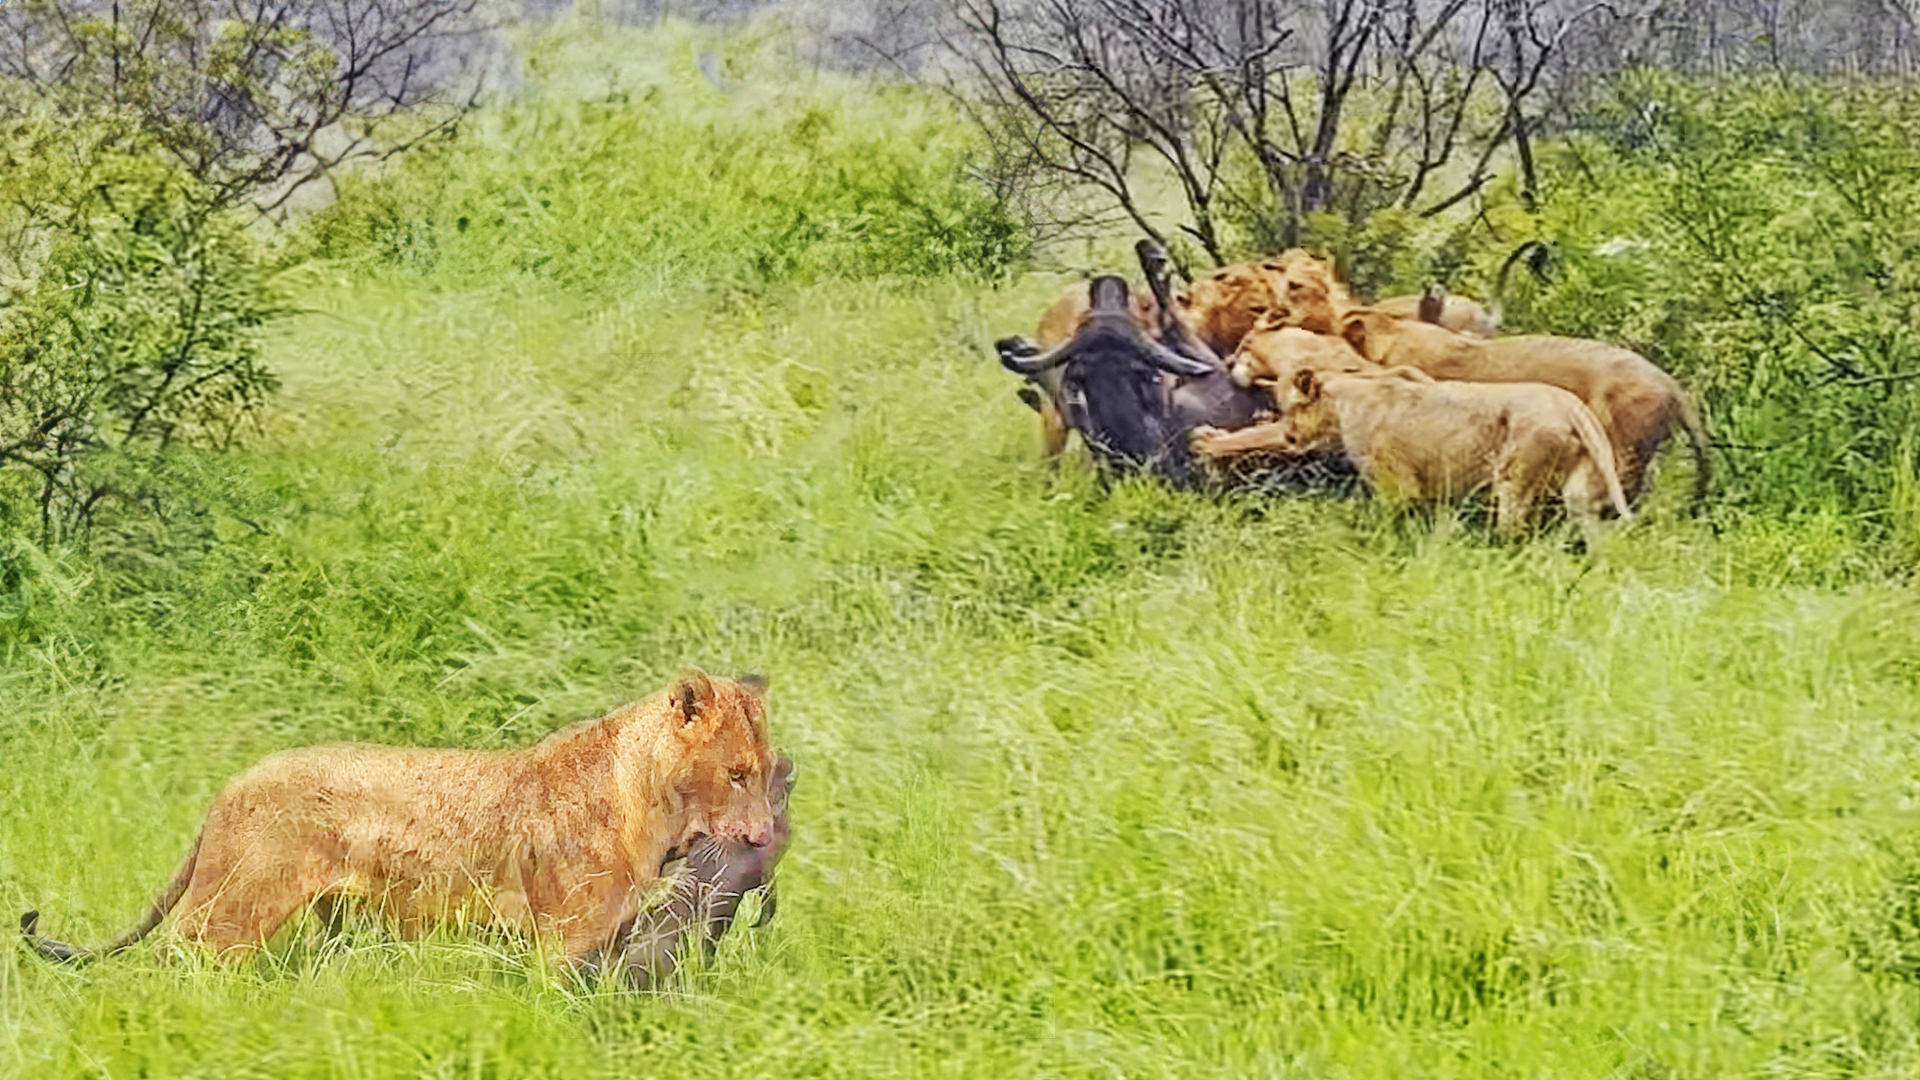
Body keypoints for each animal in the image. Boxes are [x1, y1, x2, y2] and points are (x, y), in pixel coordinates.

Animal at [20, 670, 778, 977]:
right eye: (737, 774)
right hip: (232, 906)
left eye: (767, 772)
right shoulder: (564, 940)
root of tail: (228, 789)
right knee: (175, 958)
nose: (766, 838)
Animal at [1191, 367, 1634, 534]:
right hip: (1578, 494)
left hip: (1513, 480)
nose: (1291, 435)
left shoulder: (1396, 487)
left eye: (1290, 408)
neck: (1345, 396)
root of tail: (1573, 406)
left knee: (1515, 533)